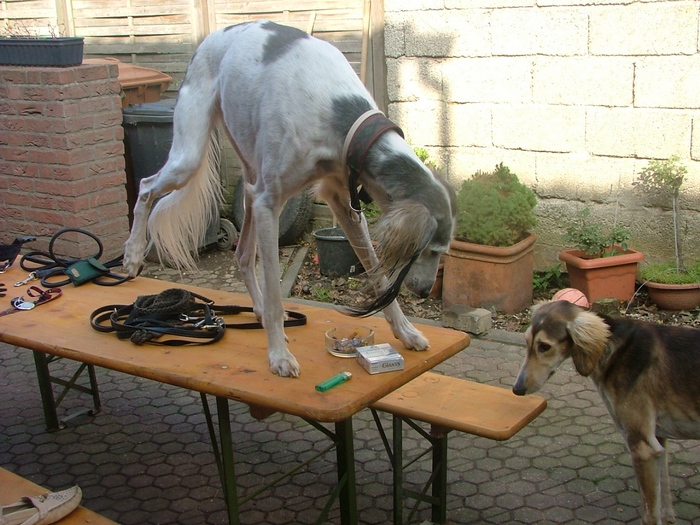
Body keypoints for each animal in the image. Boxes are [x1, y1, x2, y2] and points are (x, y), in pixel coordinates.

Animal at [122, 21, 456, 378]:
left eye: (441, 252)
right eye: (426, 250)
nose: (425, 291)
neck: (339, 112)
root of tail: (211, 38)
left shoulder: (344, 204)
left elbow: (377, 275)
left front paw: (406, 332)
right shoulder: (271, 203)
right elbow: (274, 289)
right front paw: (279, 356)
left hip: (251, 181)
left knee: (242, 254)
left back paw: (258, 310)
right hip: (192, 158)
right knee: (146, 187)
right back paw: (133, 254)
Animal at [513, 300, 700, 525]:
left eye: (544, 346)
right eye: (526, 341)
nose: (517, 389)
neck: (614, 349)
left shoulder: (643, 447)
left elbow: (649, 515)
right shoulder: (658, 441)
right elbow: (664, 500)